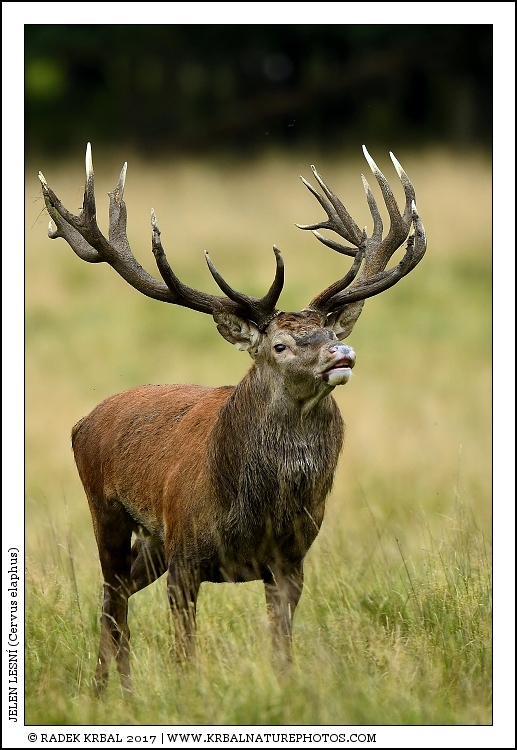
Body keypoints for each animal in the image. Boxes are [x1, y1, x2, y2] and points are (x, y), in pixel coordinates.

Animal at [39, 144, 426, 694]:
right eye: (280, 345)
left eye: (329, 333)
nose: (342, 353)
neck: (254, 510)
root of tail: (81, 422)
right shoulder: (185, 554)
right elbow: (185, 655)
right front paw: (189, 697)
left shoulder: (291, 560)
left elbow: (282, 651)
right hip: (107, 509)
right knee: (111, 597)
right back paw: (109, 694)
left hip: (152, 541)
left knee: (121, 594)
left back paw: (118, 693)